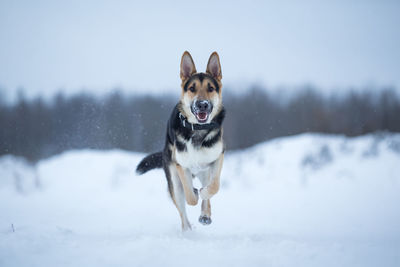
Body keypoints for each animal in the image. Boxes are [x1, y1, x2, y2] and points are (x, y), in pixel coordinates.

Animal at [137, 51, 225, 231]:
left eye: (210, 88)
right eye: (192, 89)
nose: (202, 105)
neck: (198, 129)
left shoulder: (217, 158)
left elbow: (214, 187)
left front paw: (204, 197)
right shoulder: (181, 166)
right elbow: (190, 198)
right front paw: (195, 193)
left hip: (204, 172)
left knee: (207, 189)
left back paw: (205, 215)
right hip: (174, 180)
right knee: (182, 208)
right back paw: (188, 231)